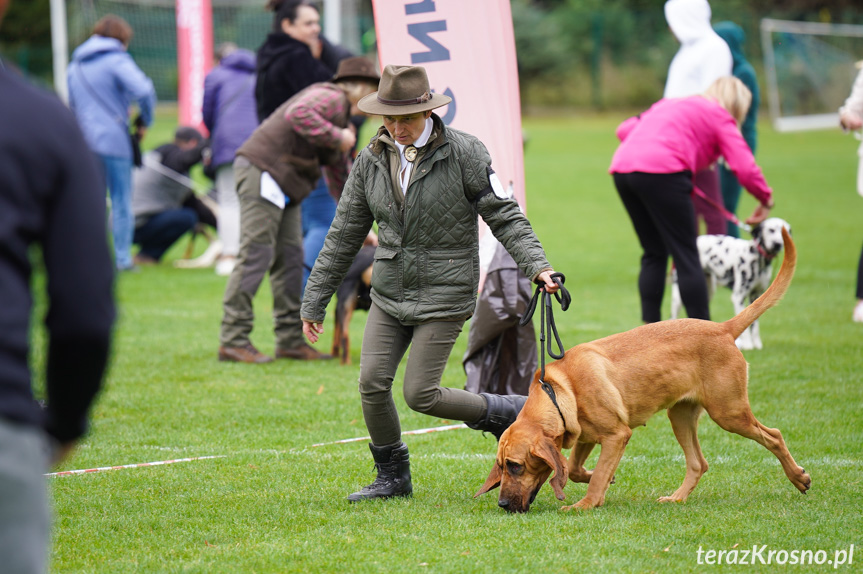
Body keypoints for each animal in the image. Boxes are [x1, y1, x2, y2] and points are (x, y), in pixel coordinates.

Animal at [672, 216, 792, 352]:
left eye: (786, 231)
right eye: (771, 230)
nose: (777, 244)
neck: (757, 258)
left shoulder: (755, 296)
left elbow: (755, 325)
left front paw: (757, 344)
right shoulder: (738, 297)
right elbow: (746, 331)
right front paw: (748, 345)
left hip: (708, 291)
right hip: (678, 298)